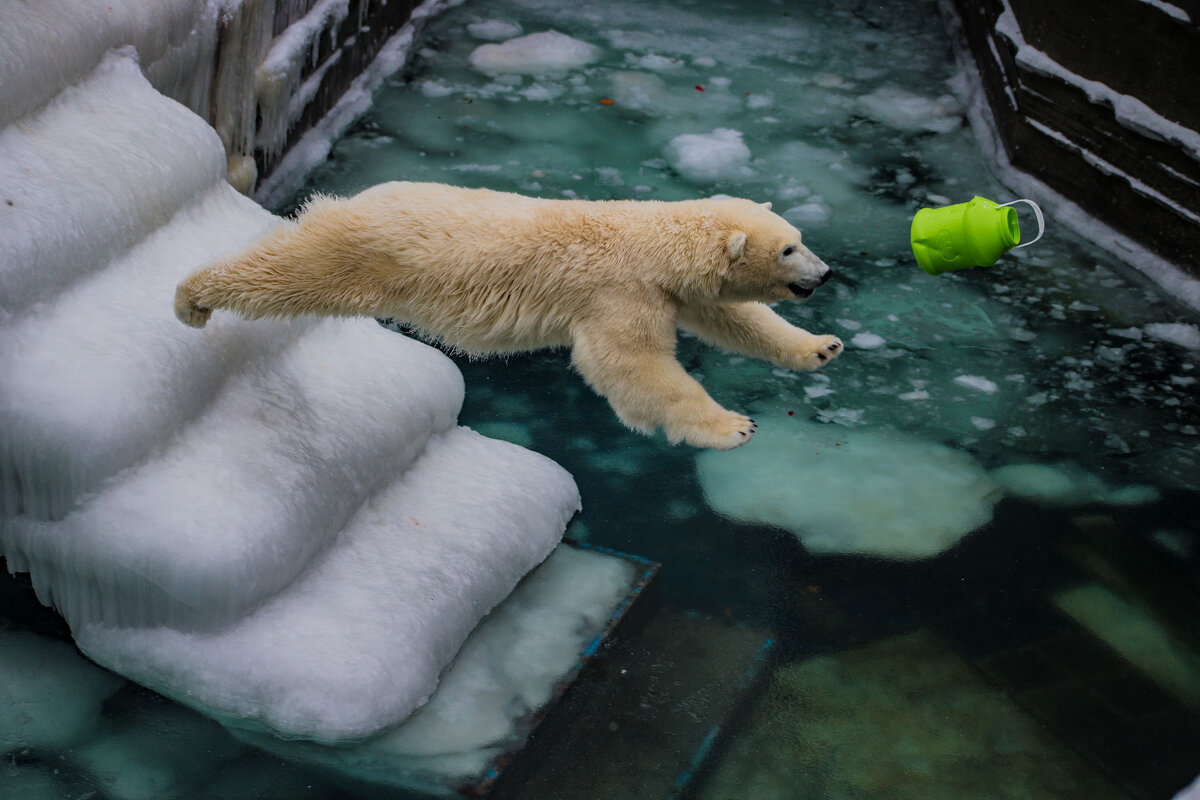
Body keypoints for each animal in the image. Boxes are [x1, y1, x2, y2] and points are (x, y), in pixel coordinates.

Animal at [175, 183, 844, 453]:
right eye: (790, 248)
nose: (825, 273)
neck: (653, 241)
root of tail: (353, 199)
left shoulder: (675, 290)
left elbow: (733, 319)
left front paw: (821, 346)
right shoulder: (618, 292)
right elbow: (632, 367)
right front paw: (733, 427)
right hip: (360, 254)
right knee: (286, 273)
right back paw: (192, 297)